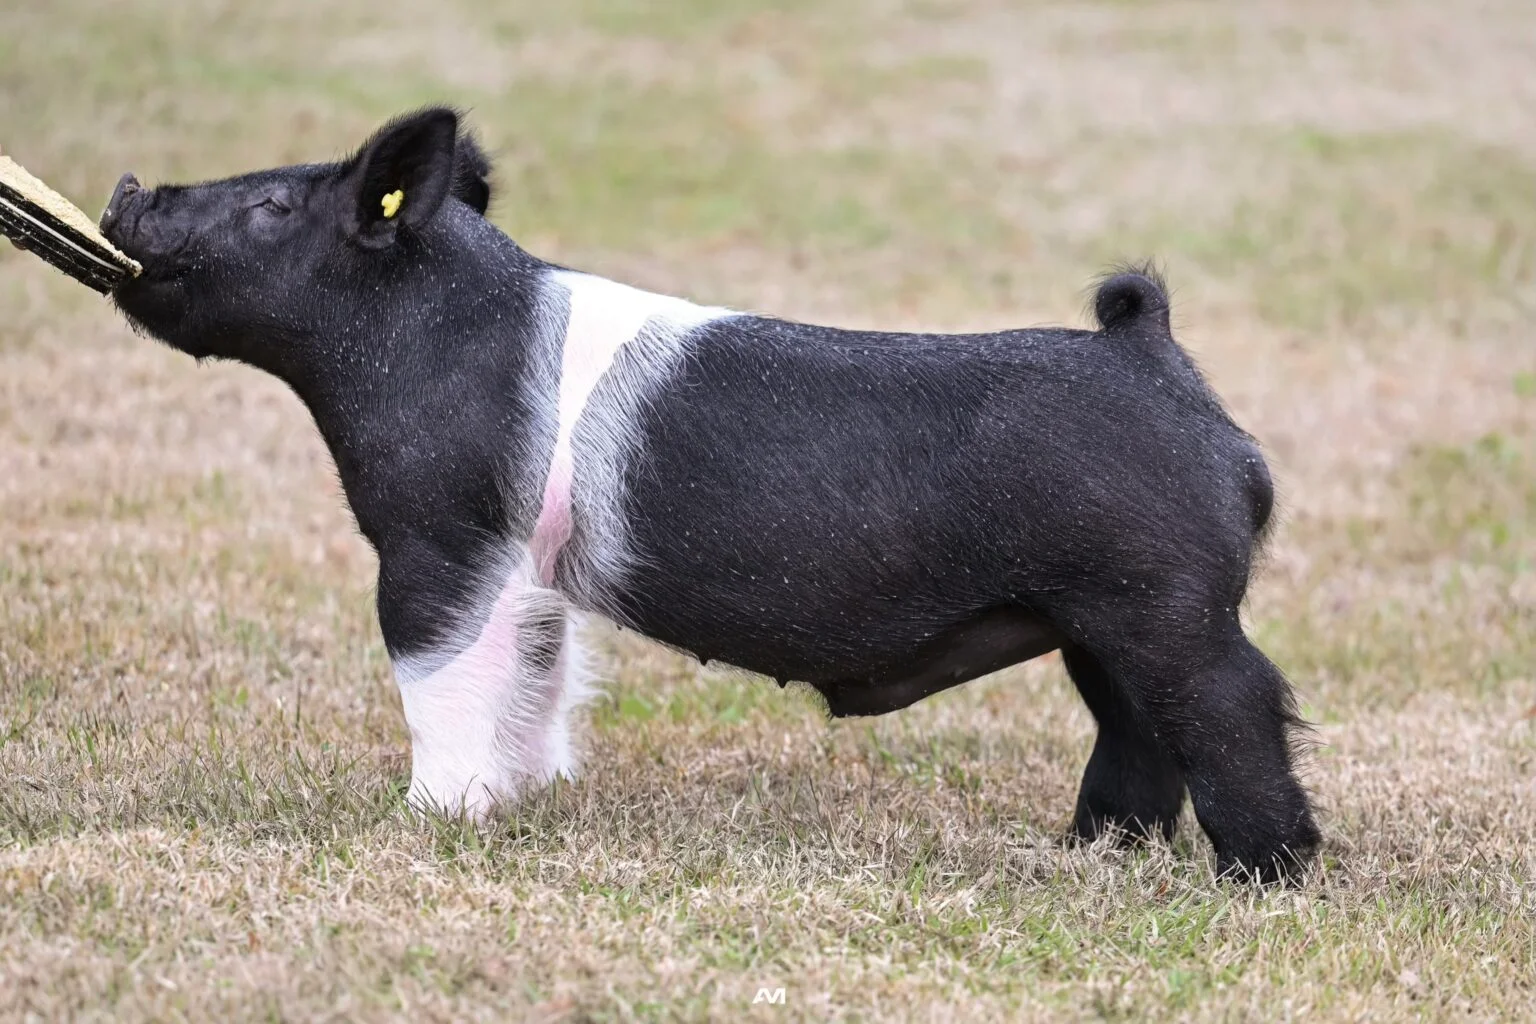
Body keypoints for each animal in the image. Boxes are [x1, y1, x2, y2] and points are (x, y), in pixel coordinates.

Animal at [99, 108, 1320, 881]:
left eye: (271, 205)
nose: (126, 189)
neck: (423, 338)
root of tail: (1156, 358)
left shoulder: (438, 545)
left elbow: (436, 680)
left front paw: (426, 822)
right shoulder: (529, 576)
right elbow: (536, 679)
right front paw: (522, 802)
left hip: (1164, 602)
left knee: (1239, 702)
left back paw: (1269, 879)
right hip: (1098, 619)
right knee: (1136, 732)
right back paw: (1088, 855)